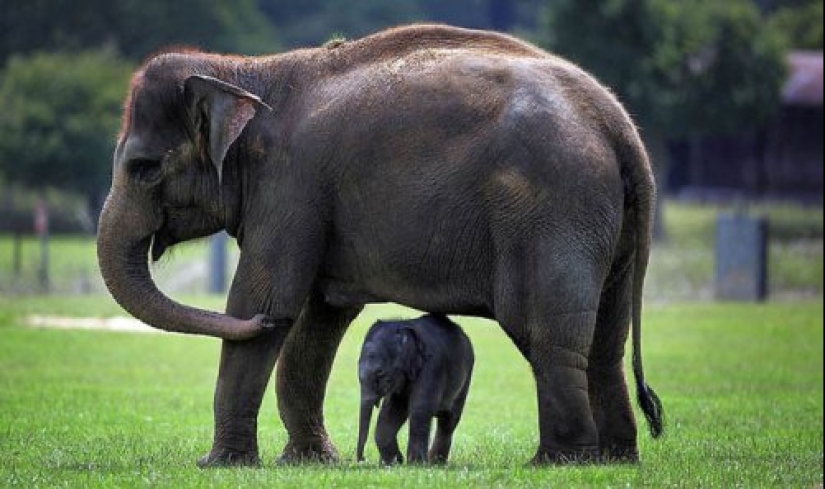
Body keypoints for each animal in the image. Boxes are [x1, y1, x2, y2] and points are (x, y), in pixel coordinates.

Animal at [356, 314, 476, 464]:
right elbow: (392, 411)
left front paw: (416, 463)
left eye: (380, 373)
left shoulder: (432, 366)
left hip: (466, 378)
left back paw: (436, 462)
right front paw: (394, 463)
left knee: (448, 421)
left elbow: (420, 408)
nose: (362, 458)